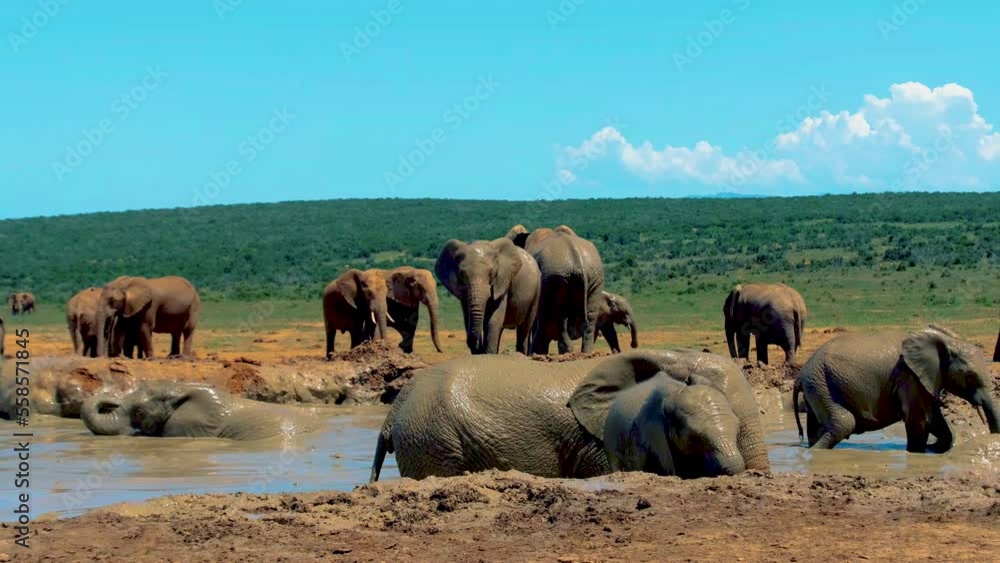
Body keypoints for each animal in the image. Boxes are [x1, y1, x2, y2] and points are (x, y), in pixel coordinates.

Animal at [512, 226, 605, 355]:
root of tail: (577, 259)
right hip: (593, 277)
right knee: (588, 319)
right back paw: (584, 353)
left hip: (556, 278)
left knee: (557, 319)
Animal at [793, 325, 999, 452]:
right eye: (970, 377)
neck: (945, 341)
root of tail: (800, 375)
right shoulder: (909, 376)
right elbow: (920, 419)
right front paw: (917, 453)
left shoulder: (925, 379)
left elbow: (936, 420)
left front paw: (934, 448)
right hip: (822, 384)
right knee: (844, 423)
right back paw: (815, 453)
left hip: (817, 386)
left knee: (818, 426)